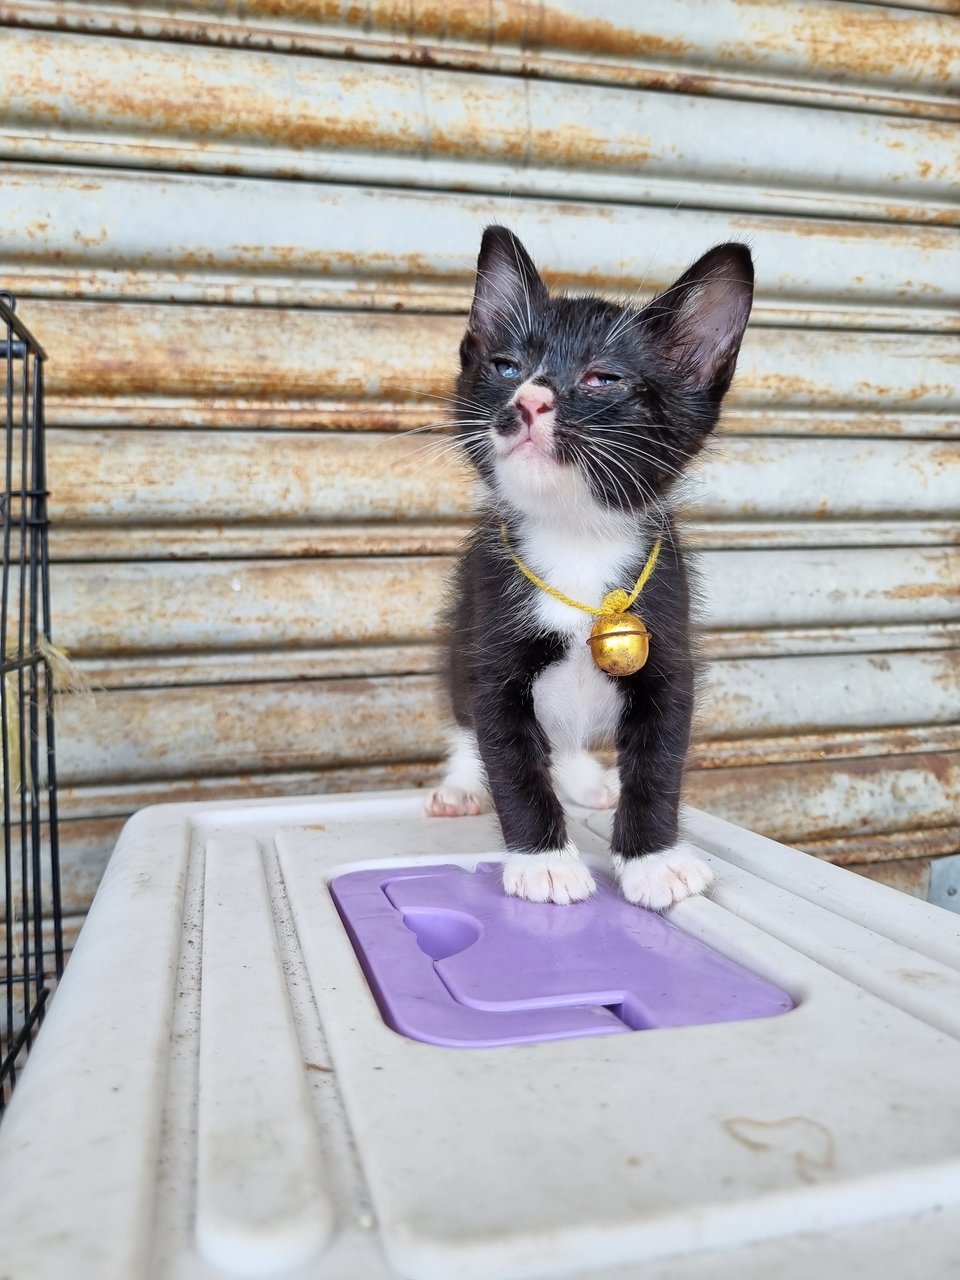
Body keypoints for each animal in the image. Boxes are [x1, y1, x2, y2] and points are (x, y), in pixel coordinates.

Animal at [424, 227, 757, 911]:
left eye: (603, 378)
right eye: (506, 367)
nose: (528, 400)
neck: (576, 539)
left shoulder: (670, 650)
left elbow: (659, 763)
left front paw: (654, 860)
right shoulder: (489, 638)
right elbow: (510, 757)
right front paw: (544, 861)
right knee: (472, 721)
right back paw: (463, 784)